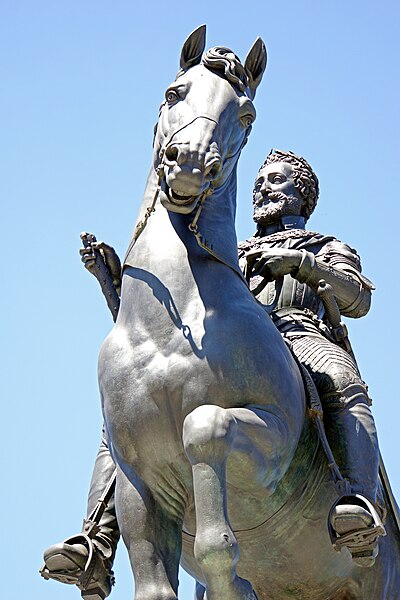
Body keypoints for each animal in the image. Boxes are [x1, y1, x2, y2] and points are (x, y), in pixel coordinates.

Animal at [98, 27, 400, 600]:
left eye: (246, 115)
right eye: (174, 92)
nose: (191, 163)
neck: (171, 328)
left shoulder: (270, 444)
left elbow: (206, 429)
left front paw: (284, 258)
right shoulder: (134, 476)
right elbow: (155, 582)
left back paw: (354, 514)